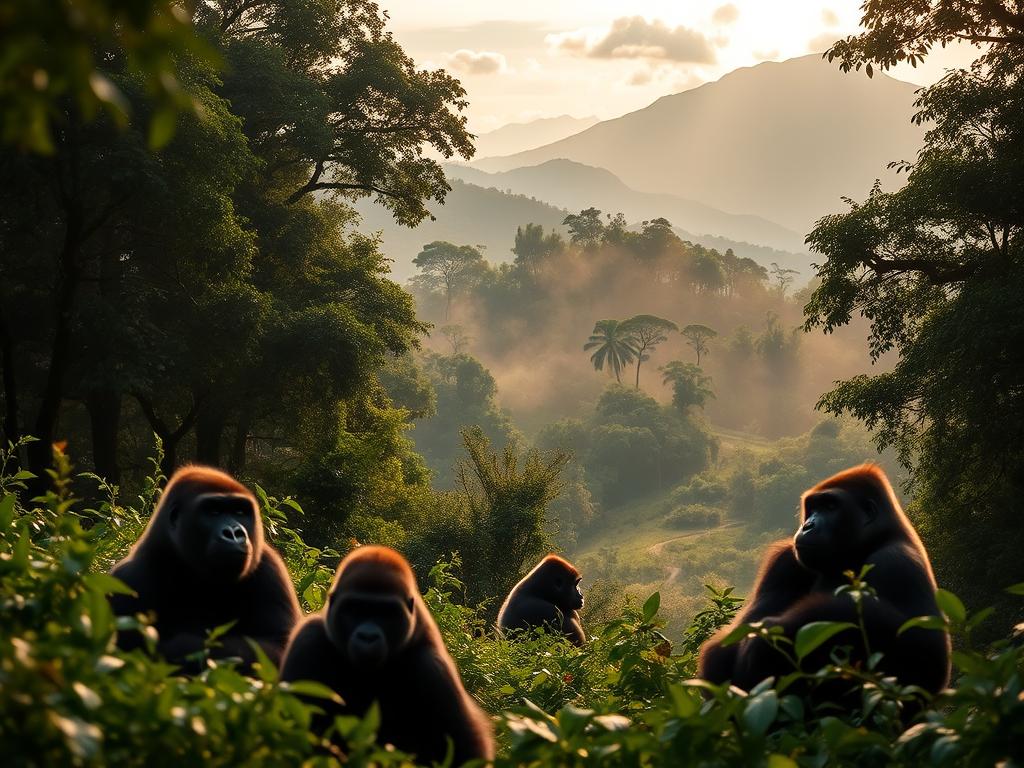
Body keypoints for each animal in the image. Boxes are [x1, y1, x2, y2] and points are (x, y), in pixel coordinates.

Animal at [109, 466, 300, 672]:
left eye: (239, 512)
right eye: (213, 512)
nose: (234, 533)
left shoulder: (270, 568)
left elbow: (277, 646)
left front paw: (180, 648)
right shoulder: (127, 579)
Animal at [280, 546, 494, 765]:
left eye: (386, 613)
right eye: (355, 610)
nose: (368, 636)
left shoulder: (433, 670)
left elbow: (465, 752)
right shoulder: (308, 640)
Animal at [699, 465, 951, 696]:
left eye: (830, 507)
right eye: (813, 507)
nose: (807, 525)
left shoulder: (896, 562)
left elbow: (925, 651)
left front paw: (770, 638)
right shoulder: (784, 561)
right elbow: (731, 639)